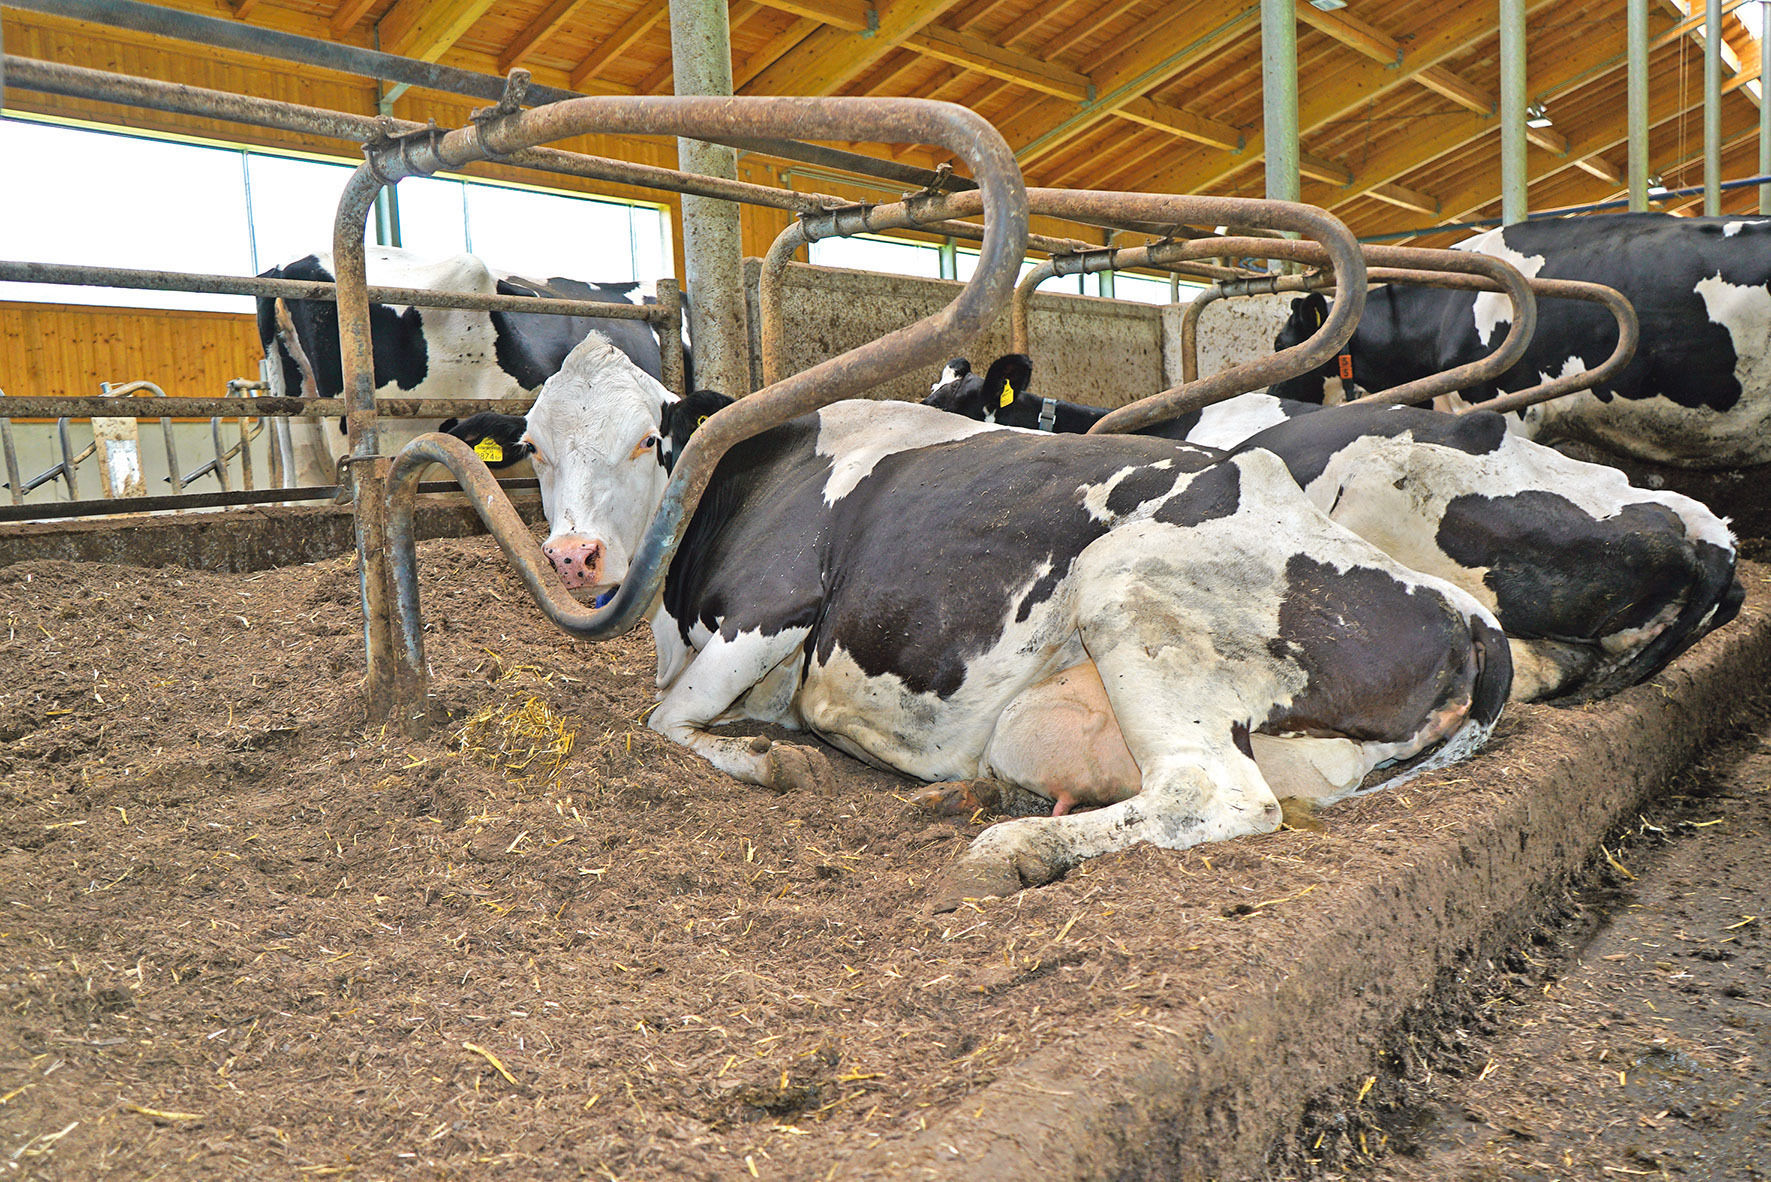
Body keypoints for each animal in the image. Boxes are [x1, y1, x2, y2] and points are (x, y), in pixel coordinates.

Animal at [442, 333, 1508, 907]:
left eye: (647, 438)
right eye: (532, 445)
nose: (574, 557)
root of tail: (1465, 615)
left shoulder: (771, 610)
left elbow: (664, 719)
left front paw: (769, 762)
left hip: (1128, 588)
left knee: (1215, 794)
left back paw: (1011, 848)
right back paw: (973, 802)